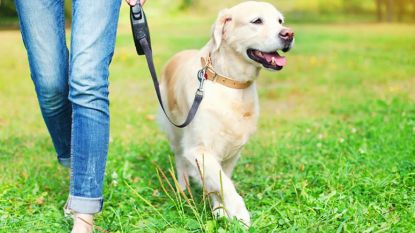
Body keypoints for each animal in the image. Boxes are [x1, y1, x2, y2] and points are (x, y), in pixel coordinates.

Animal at [158, 0, 294, 226]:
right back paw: (183, 188)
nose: (289, 34)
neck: (230, 82)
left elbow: (220, 180)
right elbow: (224, 183)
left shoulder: (232, 150)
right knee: (179, 159)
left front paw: (220, 209)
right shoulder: (198, 148)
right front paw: (240, 214)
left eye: (280, 21)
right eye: (257, 21)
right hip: (175, 130)